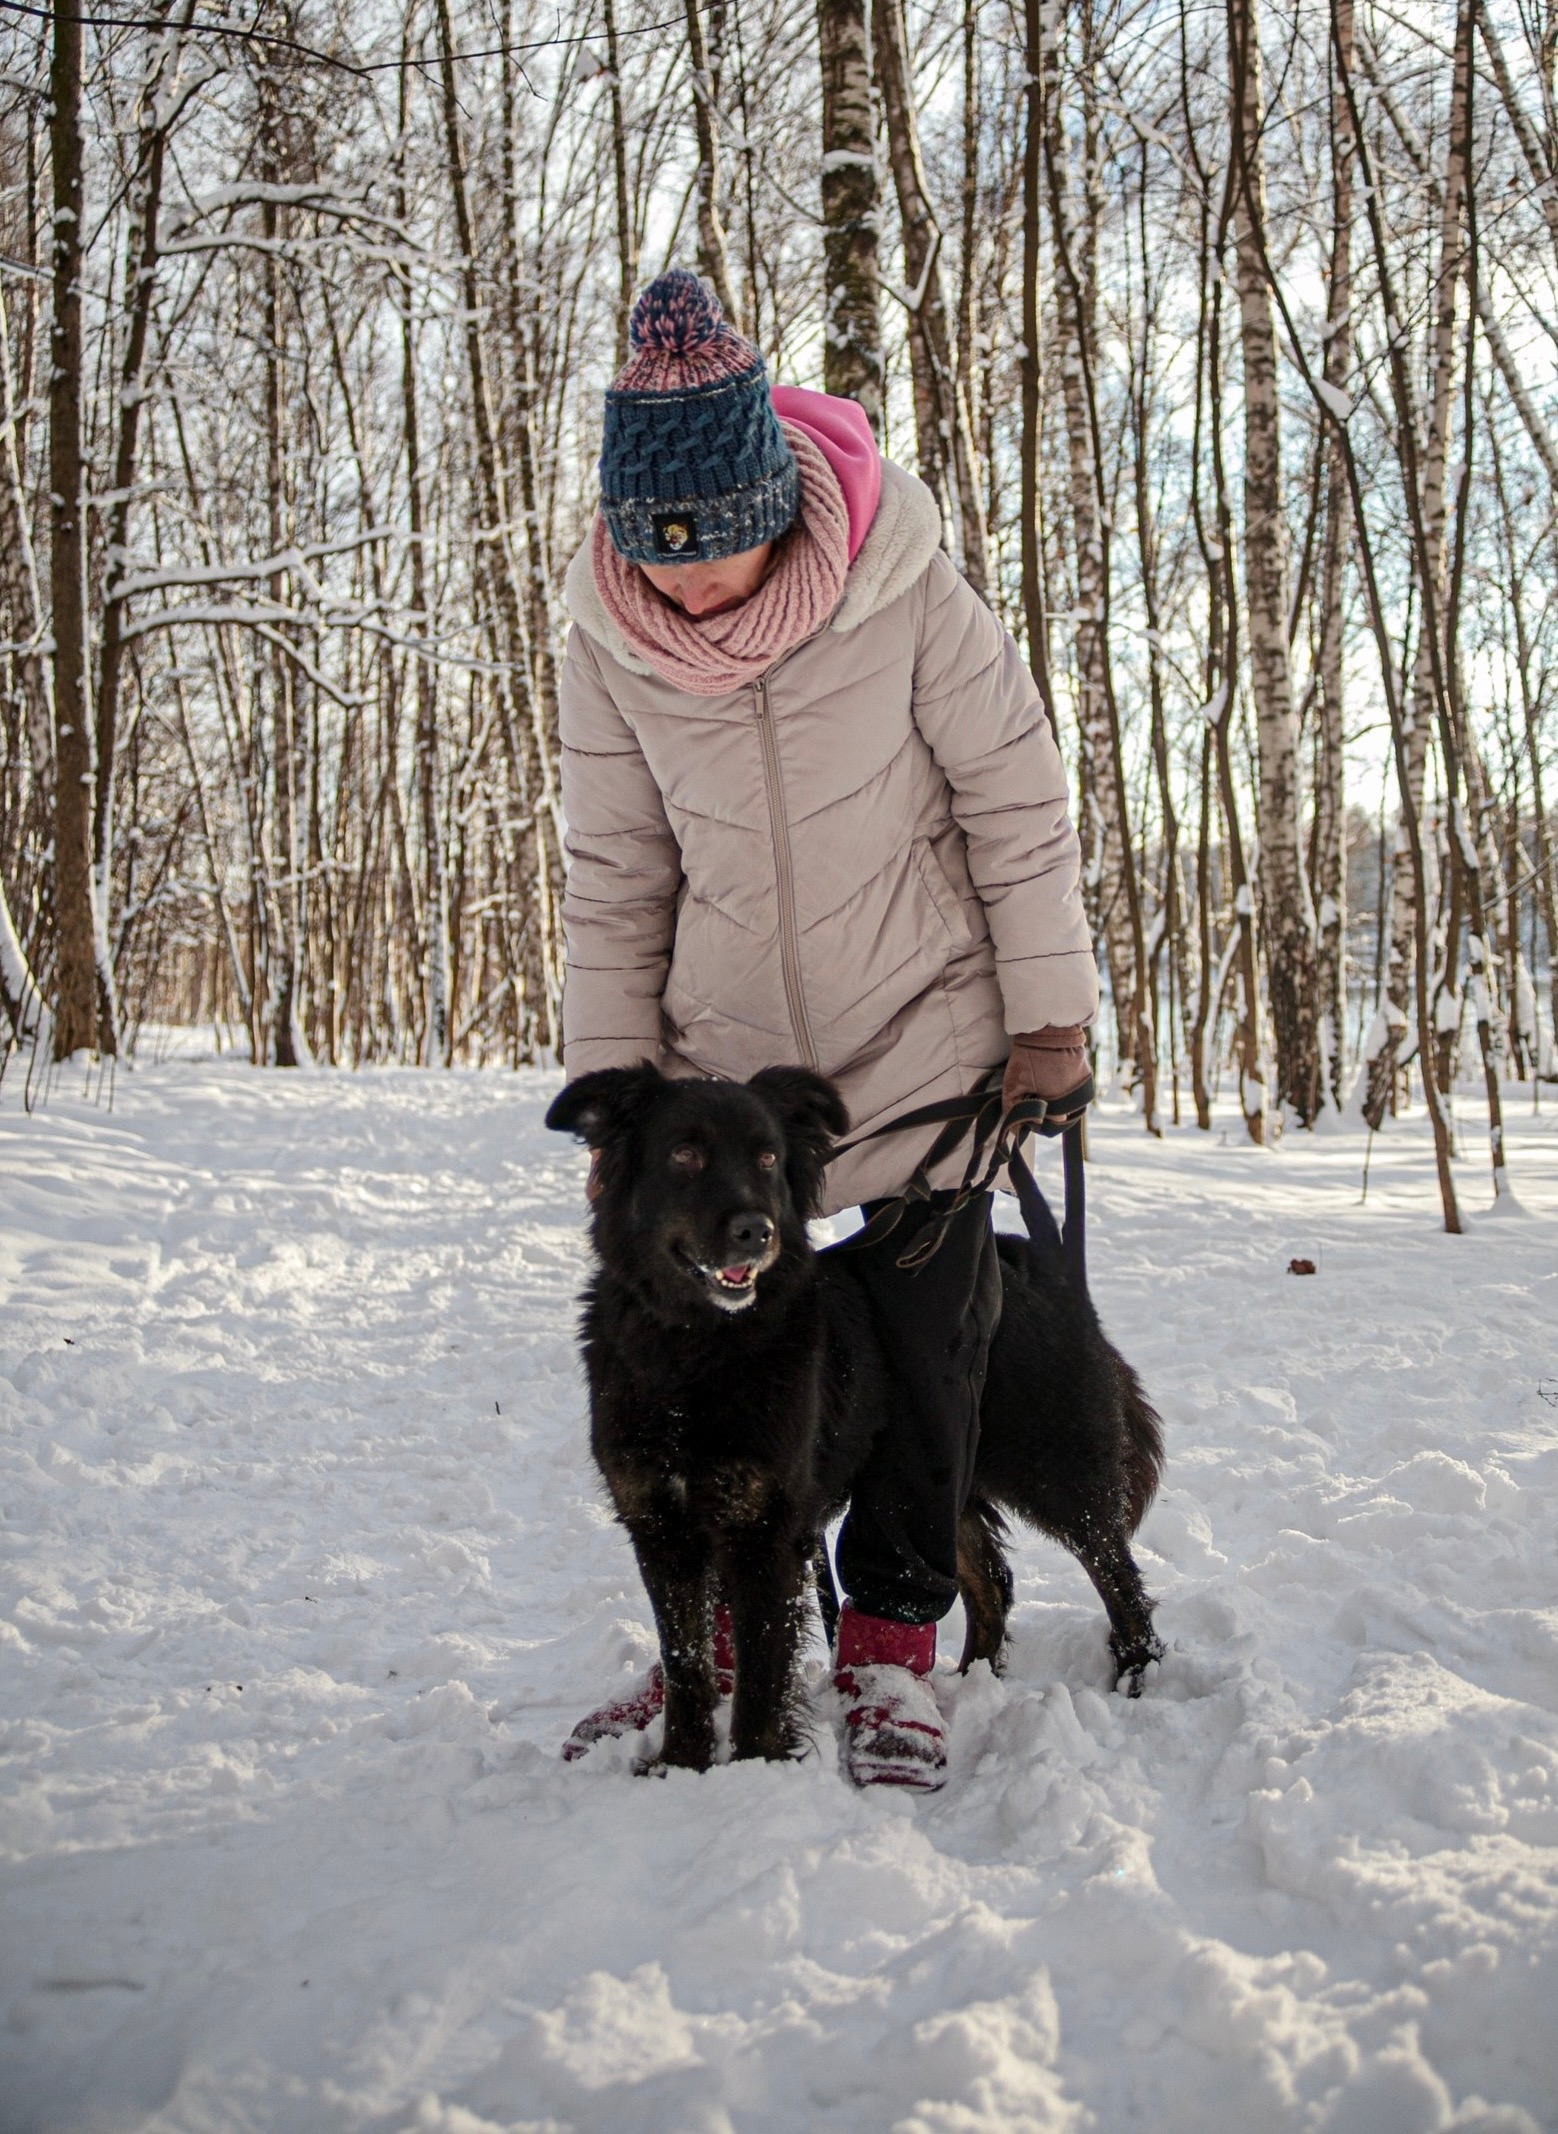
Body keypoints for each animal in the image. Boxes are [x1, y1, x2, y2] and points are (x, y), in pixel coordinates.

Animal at [546, 1062, 1164, 1771]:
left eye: (767, 1158)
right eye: (684, 1154)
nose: (757, 1230)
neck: (697, 1353)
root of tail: (1031, 1261)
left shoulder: (768, 1532)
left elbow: (762, 1673)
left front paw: (755, 1771)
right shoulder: (661, 1528)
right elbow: (688, 1663)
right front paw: (682, 1764)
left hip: (1049, 1464)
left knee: (1116, 1571)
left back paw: (1136, 1671)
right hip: (948, 1474)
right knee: (993, 1580)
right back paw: (968, 1681)